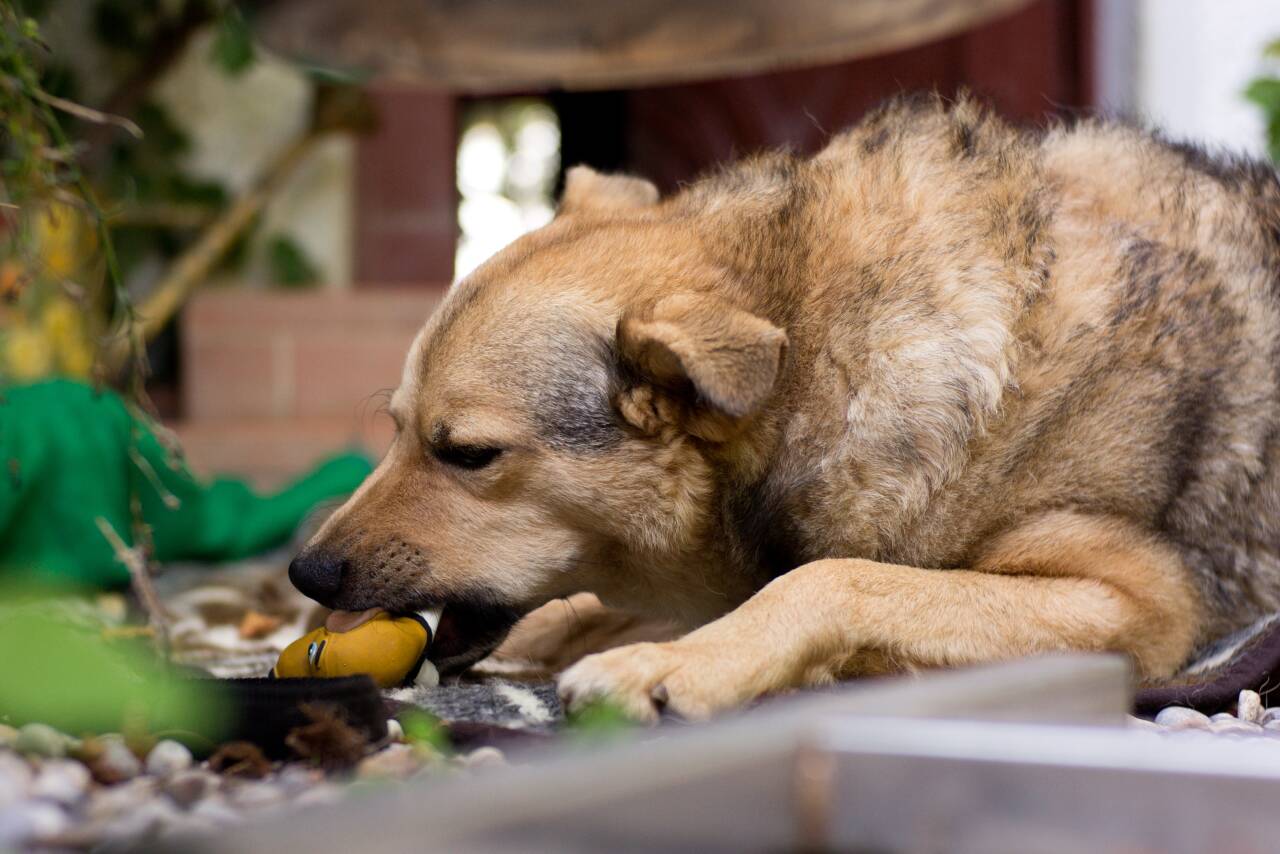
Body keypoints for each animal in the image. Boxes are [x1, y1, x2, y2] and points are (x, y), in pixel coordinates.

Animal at [288, 93, 1280, 722]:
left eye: (467, 454)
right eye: (396, 431)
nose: (305, 574)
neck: (821, 348)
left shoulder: (1137, 600)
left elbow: (832, 578)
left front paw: (680, 665)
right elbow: (583, 611)